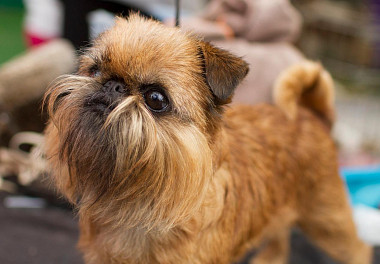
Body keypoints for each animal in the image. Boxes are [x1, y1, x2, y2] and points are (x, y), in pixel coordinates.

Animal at [42, 14, 372, 264]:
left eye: (156, 99)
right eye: (94, 70)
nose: (113, 86)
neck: (141, 201)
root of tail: (310, 115)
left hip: (328, 221)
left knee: (358, 250)